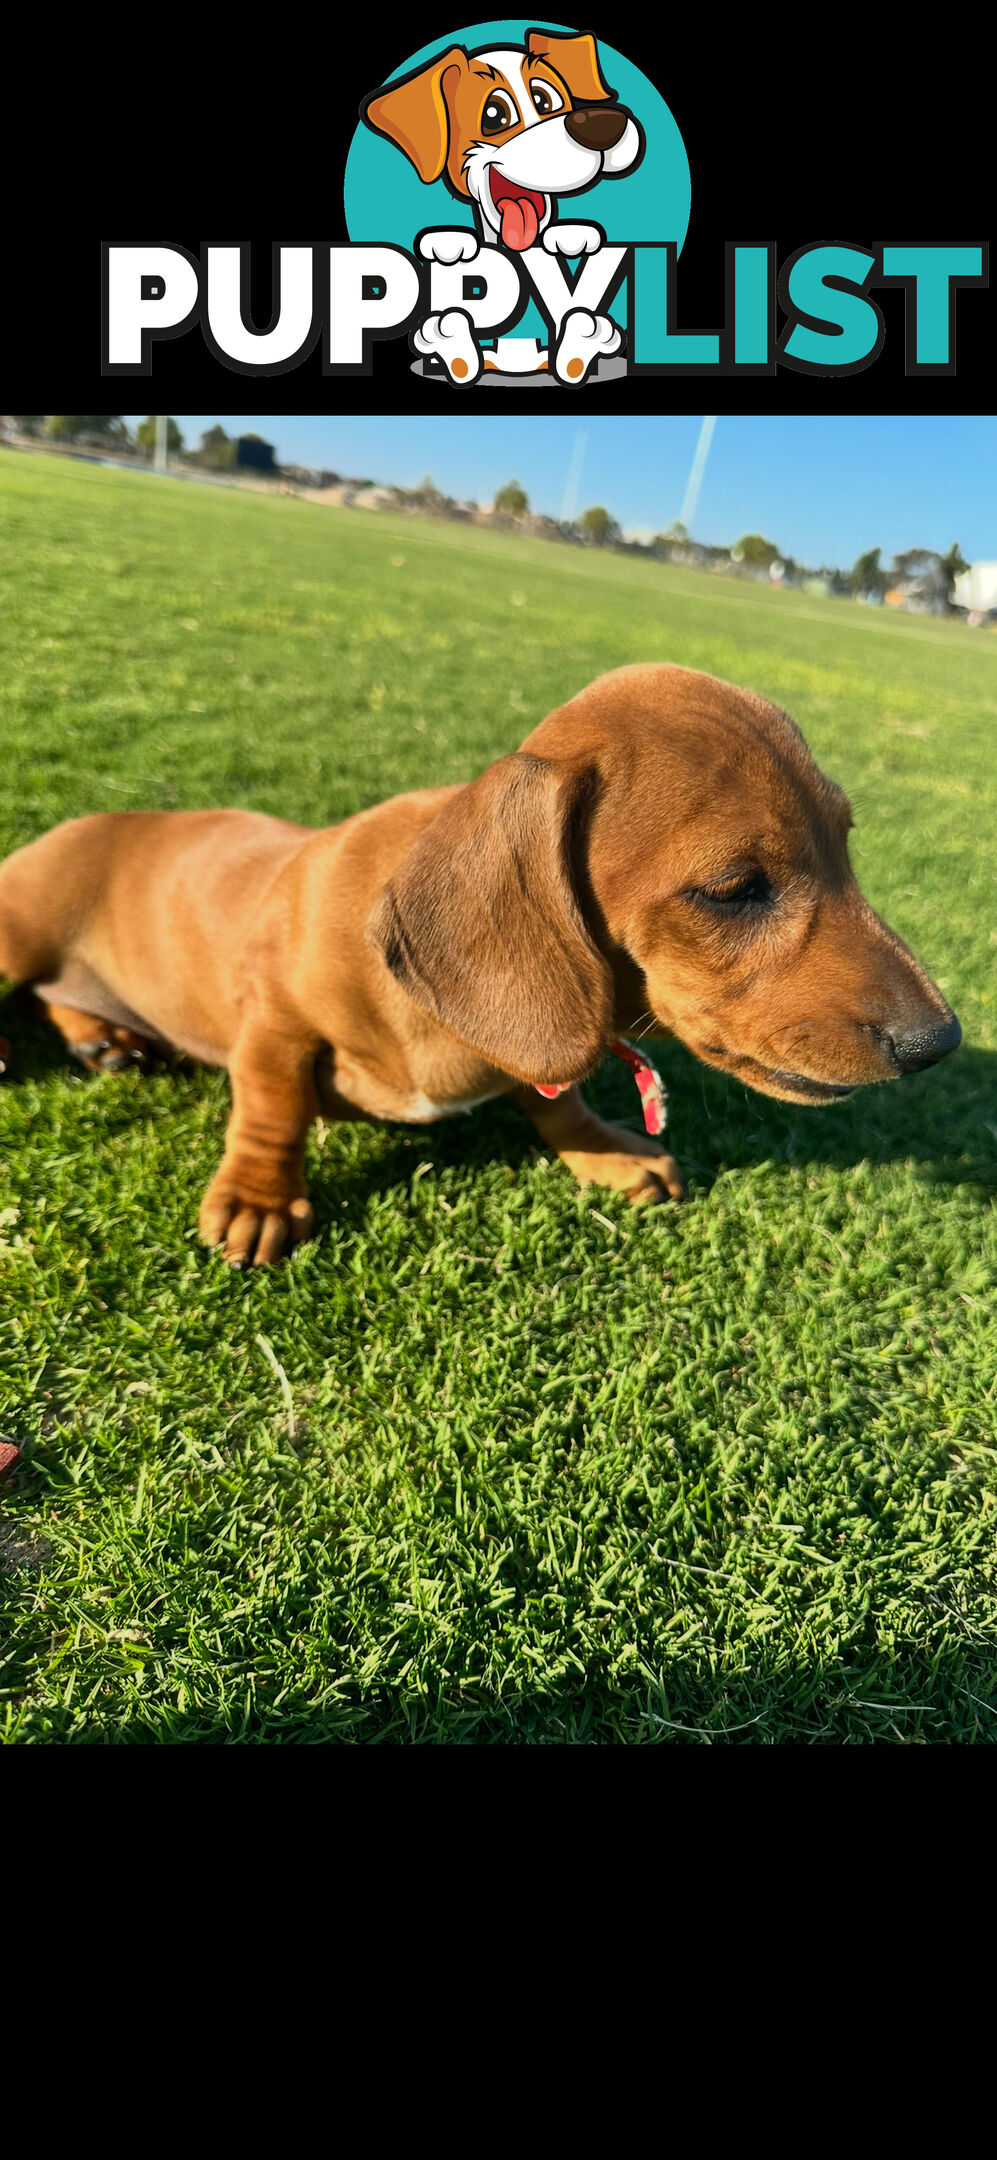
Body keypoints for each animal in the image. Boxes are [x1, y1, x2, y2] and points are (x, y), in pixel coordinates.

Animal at [0, 665, 958, 1261]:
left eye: (844, 844)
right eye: (733, 889)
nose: (939, 1043)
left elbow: (558, 1097)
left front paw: (604, 1151)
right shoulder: (272, 1014)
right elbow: (269, 1104)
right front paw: (259, 1199)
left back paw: (104, 1038)